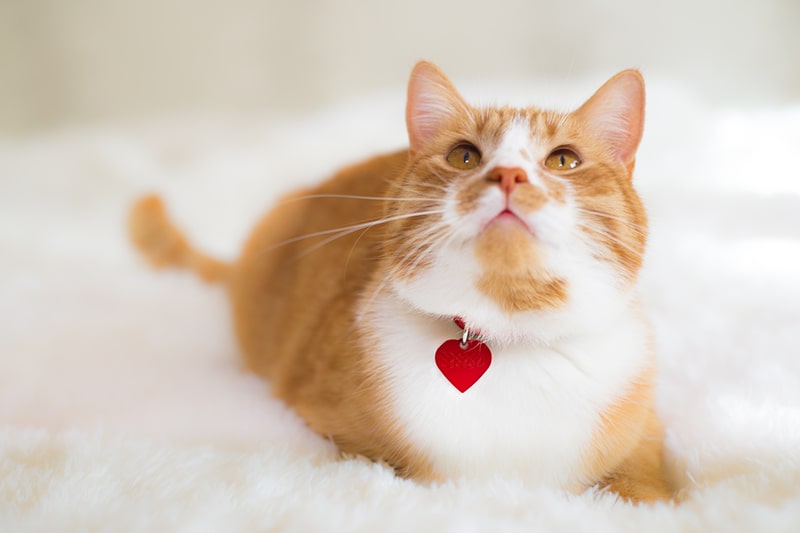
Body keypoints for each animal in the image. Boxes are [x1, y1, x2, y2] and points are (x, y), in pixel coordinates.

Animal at [131, 60, 676, 500]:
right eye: (464, 156)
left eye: (563, 160)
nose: (508, 177)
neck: (508, 334)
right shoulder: (337, 434)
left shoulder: (644, 447)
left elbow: (644, 492)